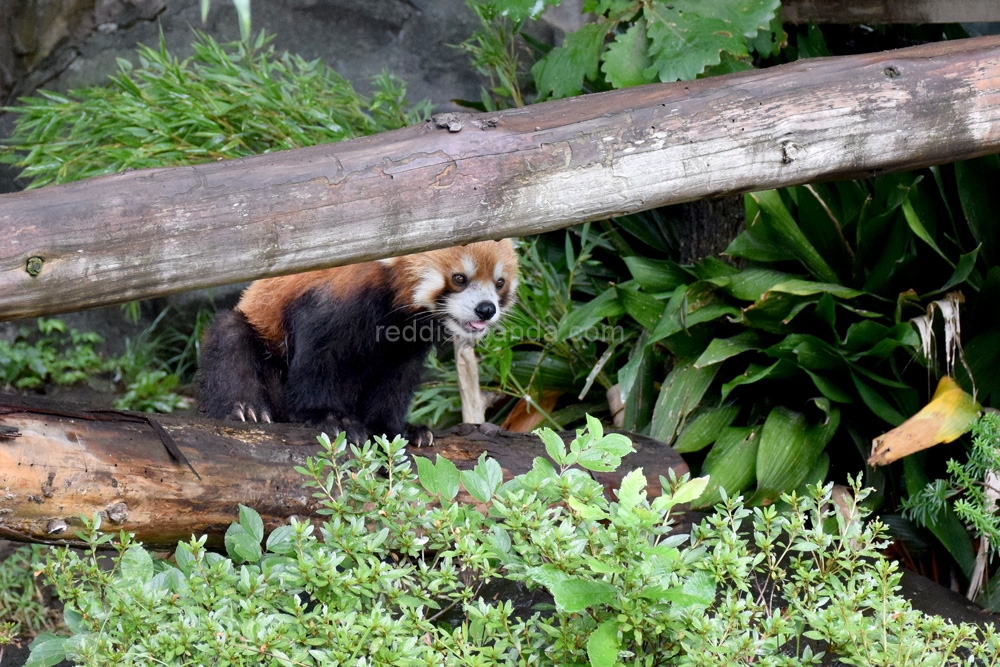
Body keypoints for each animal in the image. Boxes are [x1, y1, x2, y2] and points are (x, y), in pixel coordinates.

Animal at [198, 240, 520, 448]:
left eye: (499, 282)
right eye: (459, 278)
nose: (486, 309)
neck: (393, 310)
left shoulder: (405, 347)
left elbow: (395, 383)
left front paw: (395, 429)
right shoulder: (329, 306)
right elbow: (315, 367)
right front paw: (328, 417)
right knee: (230, 337)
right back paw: (246, 408)